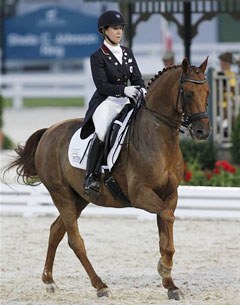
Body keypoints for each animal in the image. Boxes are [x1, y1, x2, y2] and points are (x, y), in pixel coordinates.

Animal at [4, 57, 210, 300]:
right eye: (188, 93)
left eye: (207, 92)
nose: (202, 131)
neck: (158, 139)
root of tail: (48, 131)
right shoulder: (141, 194)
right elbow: (167, 219)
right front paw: (164, 269)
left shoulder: (170, 195)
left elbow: (165, 235)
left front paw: (170, 283)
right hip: (61, 194)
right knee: (75, 240)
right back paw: (100, 285)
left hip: (79, 198)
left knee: (56, 231)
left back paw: (49, 281)